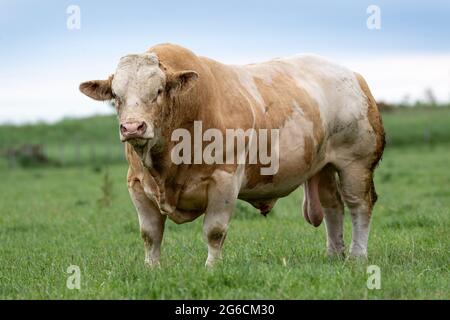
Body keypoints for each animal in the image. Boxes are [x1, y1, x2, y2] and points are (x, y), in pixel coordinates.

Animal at [79, 42, 384, 268]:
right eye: (116, 96)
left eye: (158, 91)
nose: (132, 127)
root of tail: (353, 75)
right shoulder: (137, 184)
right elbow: (150, 234)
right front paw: (152, 269)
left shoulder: (224, 180)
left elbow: (214, 231)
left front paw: (211, 269)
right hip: (323, 166)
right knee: (333, 206)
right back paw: (334, 255)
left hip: (356, 163)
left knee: (358, 206)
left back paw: (357, 256)